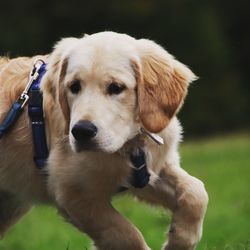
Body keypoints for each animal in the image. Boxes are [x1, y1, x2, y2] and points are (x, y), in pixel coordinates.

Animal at [0, 31, 208, 250]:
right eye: (74, 87)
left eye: (116, 87)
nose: (81, 131)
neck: (129, 144)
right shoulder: (74, 194)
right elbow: (127, 235)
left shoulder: (148, 172)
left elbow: (197, 191)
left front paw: (179, 240)